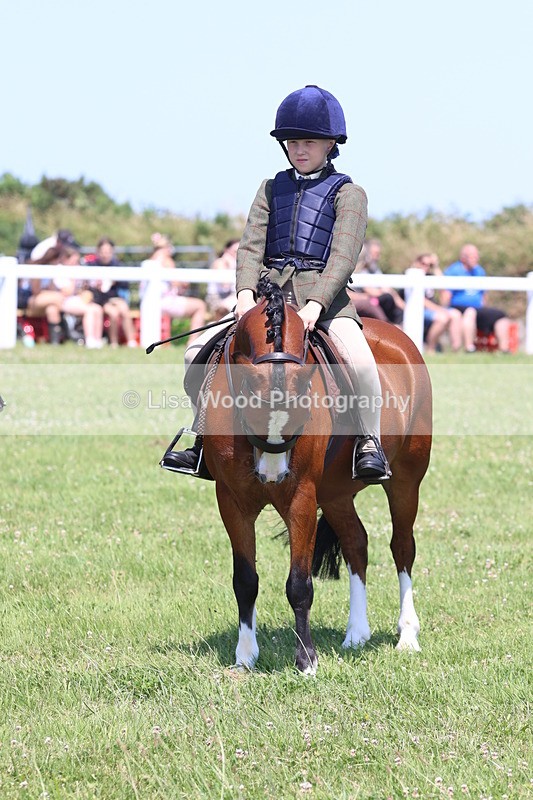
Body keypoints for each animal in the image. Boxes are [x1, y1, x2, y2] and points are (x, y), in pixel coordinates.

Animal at [201, 279, 432, 674]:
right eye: (249, 405)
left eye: (303, 411)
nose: (273, 473)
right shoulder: (232, 500)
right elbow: (245, 580)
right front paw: (245, 656)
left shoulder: (302, 498)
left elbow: (299, 584)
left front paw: (306, 660)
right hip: (336, 494)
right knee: (356, 543)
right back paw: (356, 634)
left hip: (405, 481)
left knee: (402, 548)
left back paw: (407, 636)